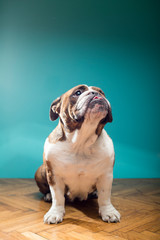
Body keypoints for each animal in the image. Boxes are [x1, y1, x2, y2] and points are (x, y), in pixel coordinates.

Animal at [34, 84, 120, 223]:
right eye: (78, 92)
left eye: (102, 93)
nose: (96, 93)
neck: (81, 142)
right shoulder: (54, 175)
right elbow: (58, 197)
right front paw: (55, 213)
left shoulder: (106, 175)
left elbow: (105, 196)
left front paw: (109, 212)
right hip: (40, 171)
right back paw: (48, 196)